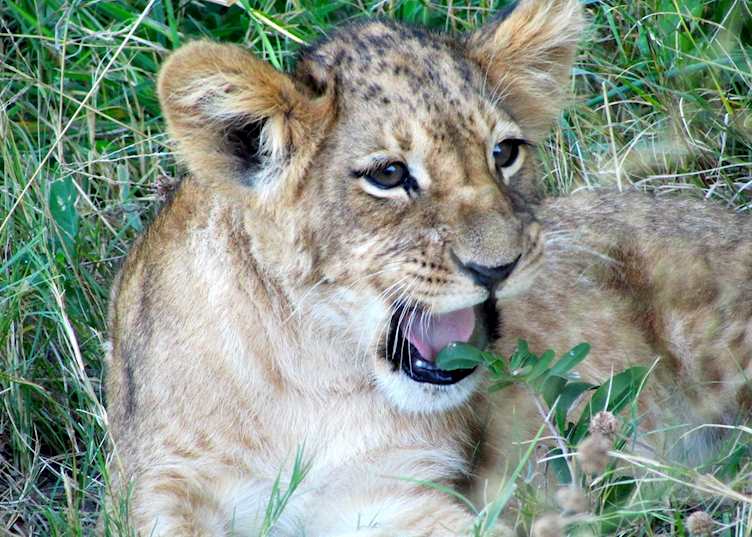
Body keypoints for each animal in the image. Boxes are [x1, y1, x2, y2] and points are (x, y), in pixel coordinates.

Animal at [104, 0, 750, 534]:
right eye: (389, 175)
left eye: (504, 153)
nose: (499, 267)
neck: (311, 373)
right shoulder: (161, 489)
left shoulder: (395, 493)